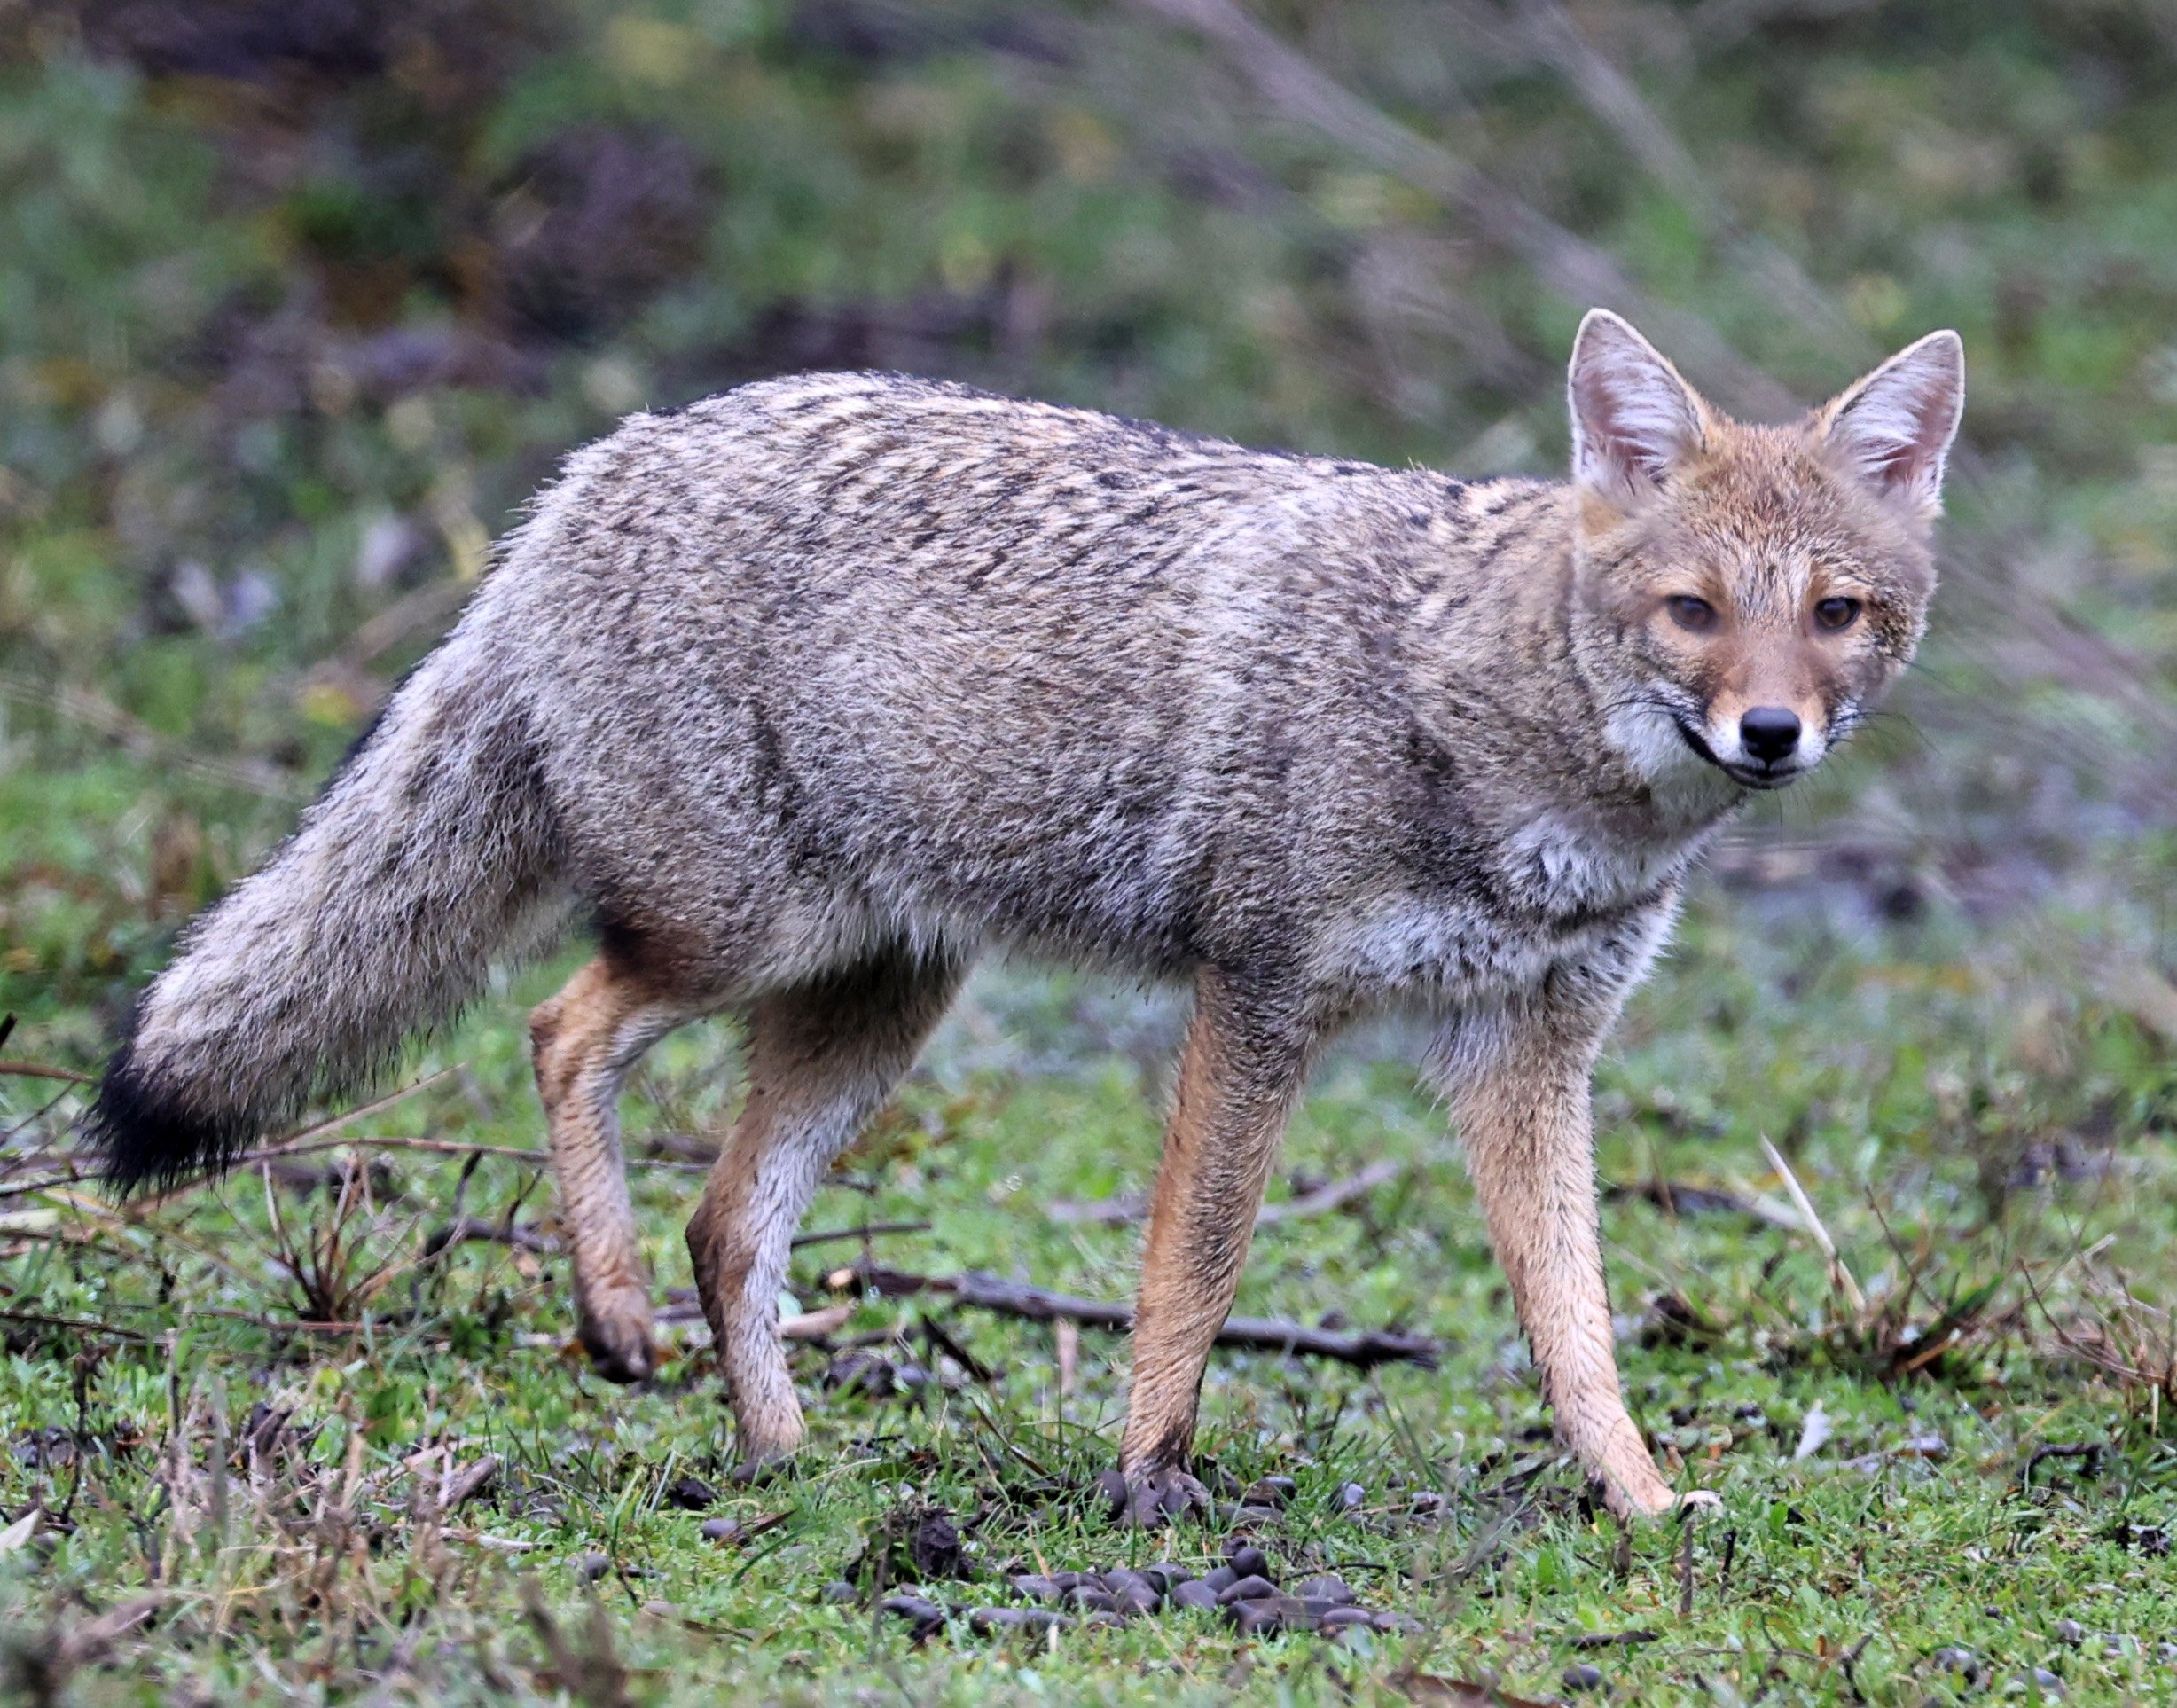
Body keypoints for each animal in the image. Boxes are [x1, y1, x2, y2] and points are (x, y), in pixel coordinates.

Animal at [85, 309, 1963, 1521]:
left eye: (1838, 615)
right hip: (734, 940)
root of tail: (596, 467)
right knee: (562, 1028)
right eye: (1694, 611)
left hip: (880, 1003)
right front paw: (1146, 1479)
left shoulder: (1530, 1055)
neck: (1514, 747)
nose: (1770, 734)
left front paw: (1638, 1501)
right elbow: (1195, 1268)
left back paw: (783, 1461)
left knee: (727, 1220)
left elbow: (1574, 1323)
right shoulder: (1257, 997)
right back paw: (612, 1317)